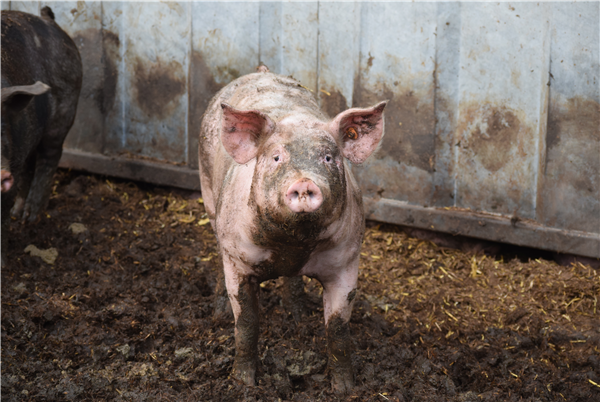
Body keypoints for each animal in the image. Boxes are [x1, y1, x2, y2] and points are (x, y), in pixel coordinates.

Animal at [1, 7, 83, 266]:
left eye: (0, 131)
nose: (2, 174)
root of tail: (47, 19)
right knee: (31, 163)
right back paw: (19, 214)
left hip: (65, 109)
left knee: (50, 156)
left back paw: (30, 217)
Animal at [199, 66, 386, 392]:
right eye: (276, 158)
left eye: (328, 157)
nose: (304, 183)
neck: (293, 243)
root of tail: (259, 72)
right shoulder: (238, 260)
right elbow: (246, 323)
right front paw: (243, 383)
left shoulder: (347, 262)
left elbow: (338, 330)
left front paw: (346, 389)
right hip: (208, 194)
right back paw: (220, 311)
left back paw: (297, 313)